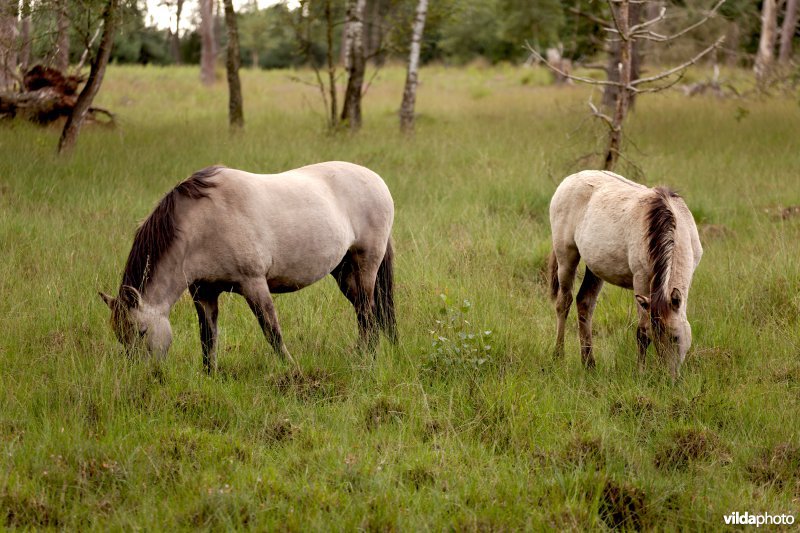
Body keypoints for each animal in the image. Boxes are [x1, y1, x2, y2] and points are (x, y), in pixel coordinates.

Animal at [100, 160, 396, 372]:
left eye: (142, 332)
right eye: (120, 337)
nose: (144, 376)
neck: (202, 224)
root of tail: (377, 180)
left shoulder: (253, 284)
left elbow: (272, 332)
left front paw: (293, 371)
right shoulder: (204, 293)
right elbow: (208, 338)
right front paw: (210, 377)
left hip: (365, 265)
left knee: (367, 314)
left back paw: (366, 359)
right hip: (344, 272)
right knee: (364, 313)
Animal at [548, 170, 704, 378]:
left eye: (676, 337)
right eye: (661, 338)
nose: (669, 377)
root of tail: (572, 178)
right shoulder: (641, 280)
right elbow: (642, 332)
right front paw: (640, 373)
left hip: (595, 267)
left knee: (585, 303)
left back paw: (589, 364)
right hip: (566, 257)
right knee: (563, 303)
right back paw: (558, 356)